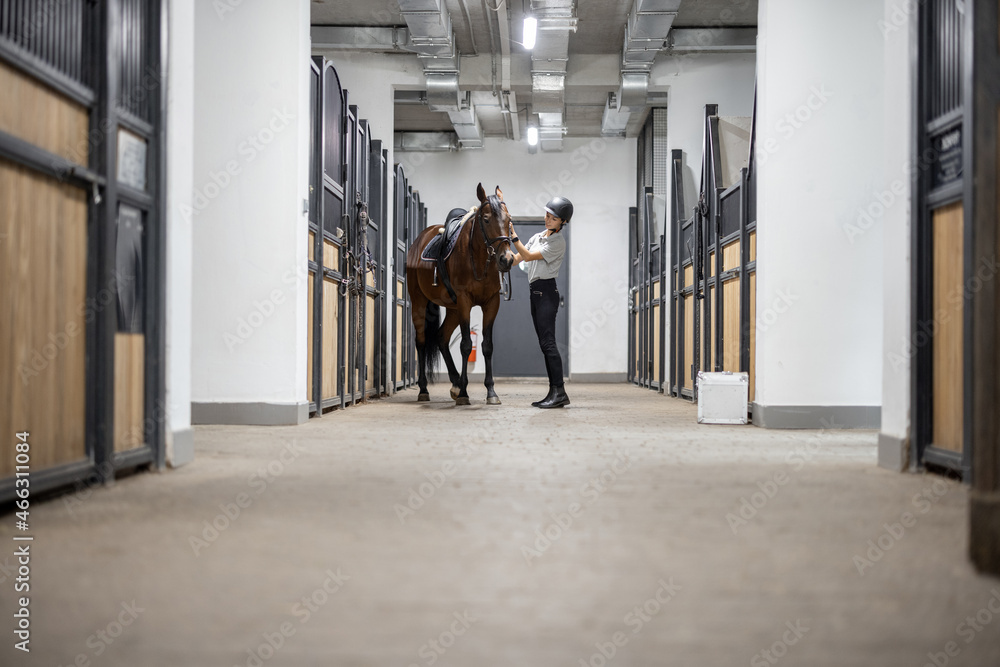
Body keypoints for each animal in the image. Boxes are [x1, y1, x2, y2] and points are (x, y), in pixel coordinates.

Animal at [404, 180, 516, 408]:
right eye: (486, 219)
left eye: (509, 219)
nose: (506, 259)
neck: (479, 260)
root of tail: (420, 239)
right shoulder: (465, 301)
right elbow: (465, 345)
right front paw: (464, 393)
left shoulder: (491, 303)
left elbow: (487, 346)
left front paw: (491, 392)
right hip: (420, 301)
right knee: (421, 341)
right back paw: (424, 389)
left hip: (453, 308)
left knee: (441, 338)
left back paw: (455, 383)